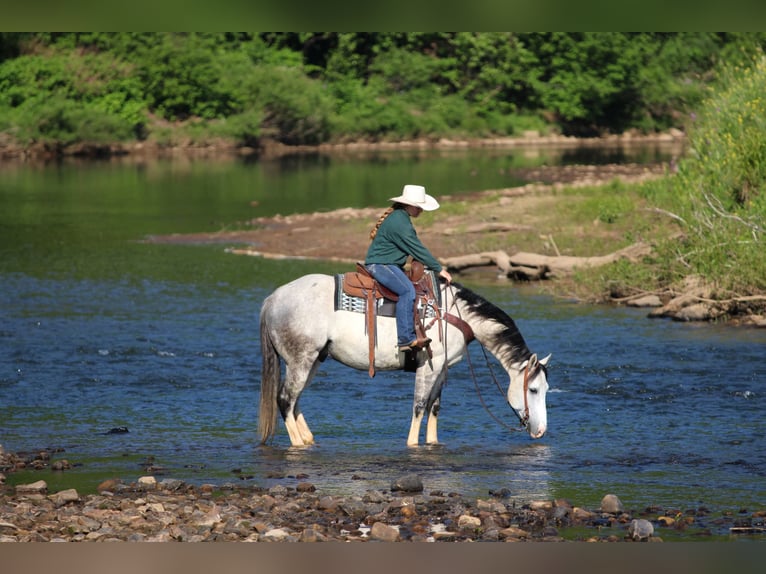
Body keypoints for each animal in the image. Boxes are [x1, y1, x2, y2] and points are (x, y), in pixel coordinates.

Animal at [258, 273, 551, 447]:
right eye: (533, 389)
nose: (540, 431)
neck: (455, 315)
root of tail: (273, 299)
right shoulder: (428, 366)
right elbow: (419, 405)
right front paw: (413, 444)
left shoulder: (442, 369)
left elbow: (434, 406)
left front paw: (432, 443)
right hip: (301, 360)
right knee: (285, 399)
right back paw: (298, 444)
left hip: (314, 360)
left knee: (294, 399)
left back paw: (308, 439)